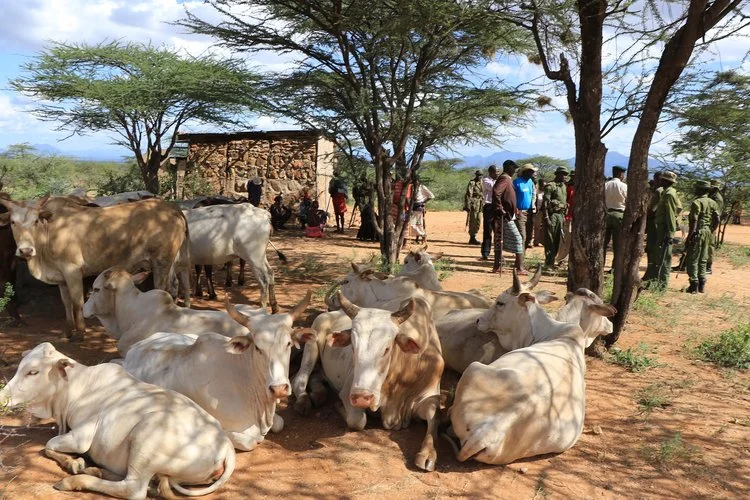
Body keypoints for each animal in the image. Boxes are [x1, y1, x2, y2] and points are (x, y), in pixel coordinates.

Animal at [0, 196, 191, 339]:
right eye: (13, 222)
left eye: (36, 221)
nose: (25, 250)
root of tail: (172, 207)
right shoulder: (61, 278)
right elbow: (66, 303)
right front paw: (67, 332)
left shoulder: (73, 271)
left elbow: (77, 302)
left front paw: (80, 333)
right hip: (169, 263)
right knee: (174, 286)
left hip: (161, 263)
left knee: (162, 288)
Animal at [0, 343, 235, 499]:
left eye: (33, 372)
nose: (3, 397)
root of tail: (226, 445)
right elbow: (49, 447)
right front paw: (75, 462)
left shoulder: (80, 438)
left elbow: (48, 445)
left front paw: (73, 463)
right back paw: (95, 470)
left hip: (146, 442)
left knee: (133, 489)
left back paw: (75, 480)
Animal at [120, 291, 313, 451]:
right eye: (258, 347)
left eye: (288, 343)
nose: (279, 389)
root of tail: (135, 348)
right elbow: (250, 441)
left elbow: (279, 423)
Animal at [294, 291, 443, 471]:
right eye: (352, 346)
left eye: (387, 348)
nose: (361, 397)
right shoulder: (348, 391)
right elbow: (358, 421)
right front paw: (339, 407)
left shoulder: (430, 395)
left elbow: (435, 416)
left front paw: (428, 453)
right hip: (312, 343)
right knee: (299, 379)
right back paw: (304, 401)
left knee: (318, 376)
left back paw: (319, 394)